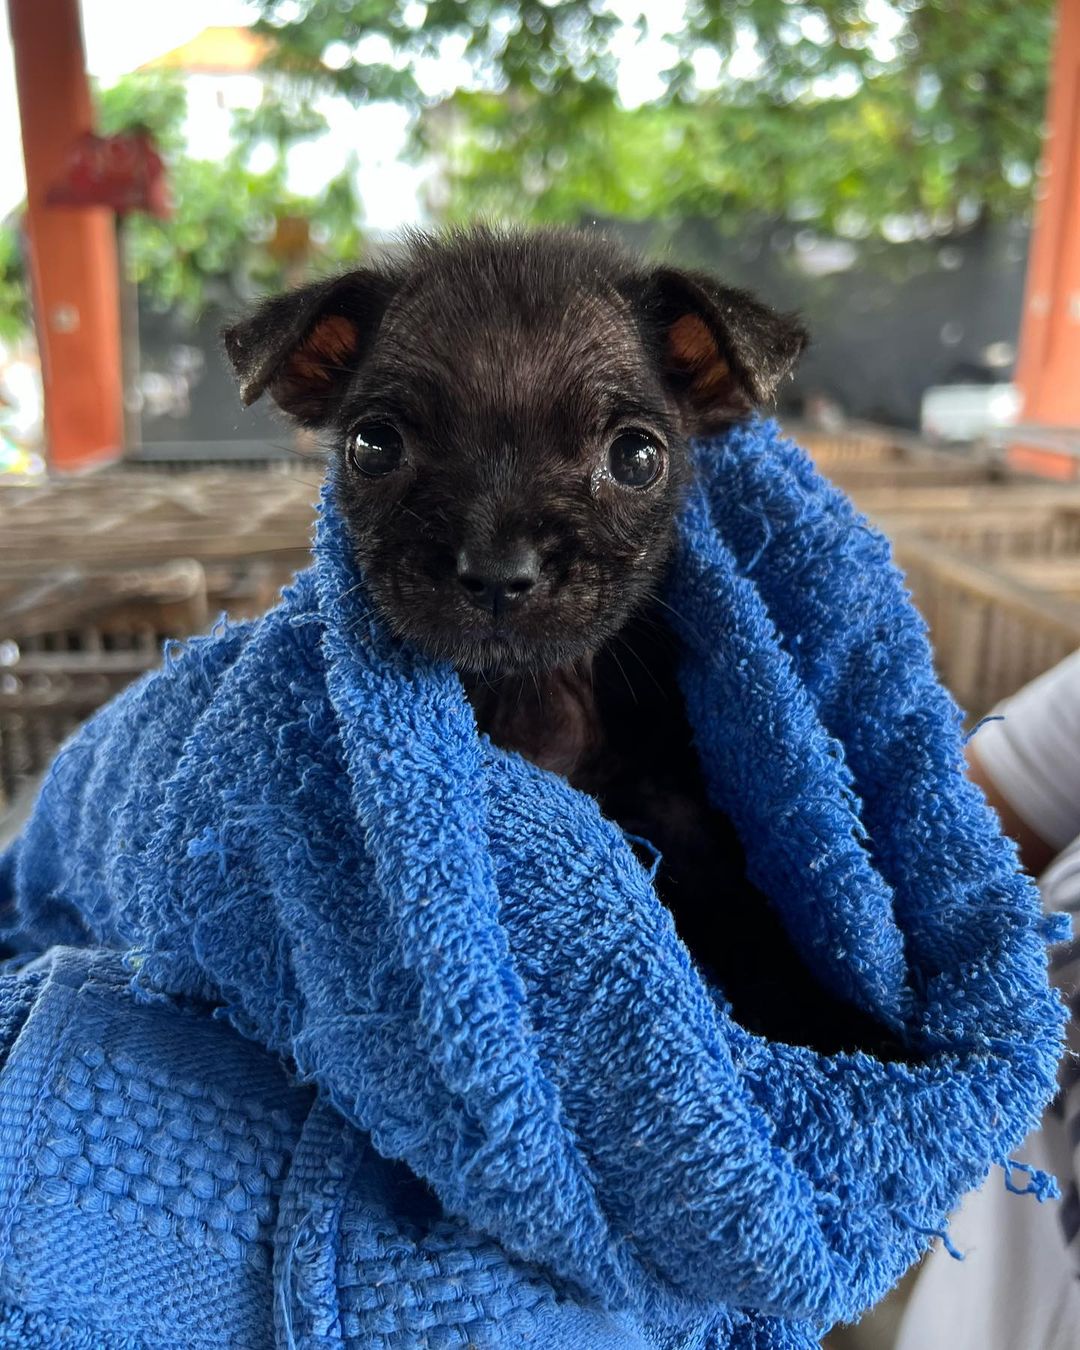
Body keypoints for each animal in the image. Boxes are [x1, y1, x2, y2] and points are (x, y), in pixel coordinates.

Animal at [224, 226, 896, 1058]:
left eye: (636, 458)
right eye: (373, 446)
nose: (498, 570)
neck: (540, 696)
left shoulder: (684, 817)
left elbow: (752, 925)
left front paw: (845, 1028)